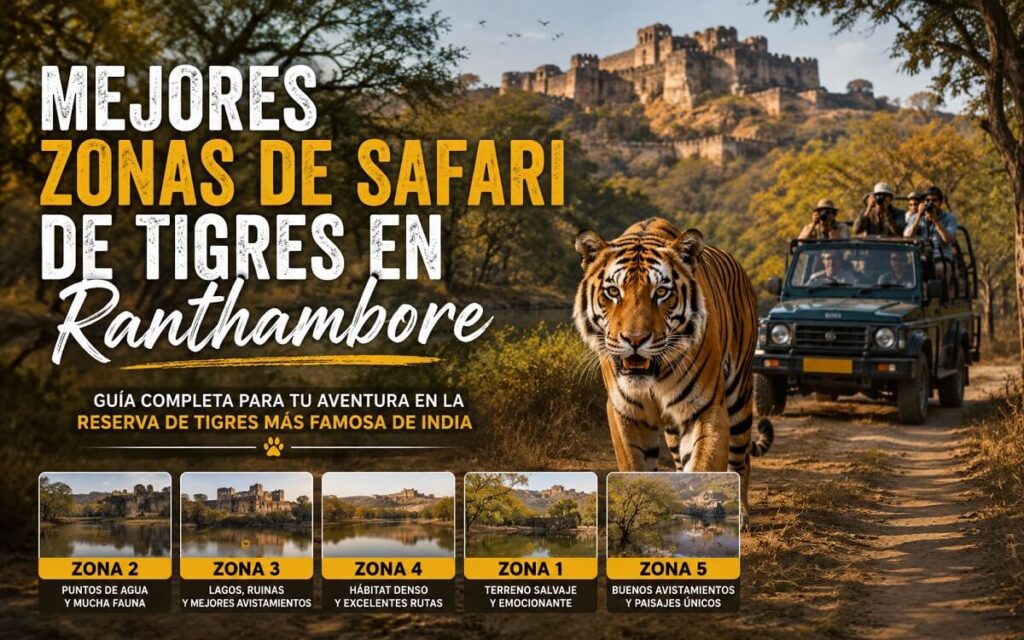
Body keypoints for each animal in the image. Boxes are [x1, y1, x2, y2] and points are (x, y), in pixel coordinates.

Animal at [573, 217, 773, 522]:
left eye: (661, 292)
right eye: (613, 292)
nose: (635, 340)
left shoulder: (706, 408)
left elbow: (705, 466)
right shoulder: (624, 411)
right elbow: (634, 467)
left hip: (739, 395)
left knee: (741, 458)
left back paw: (742, 513)